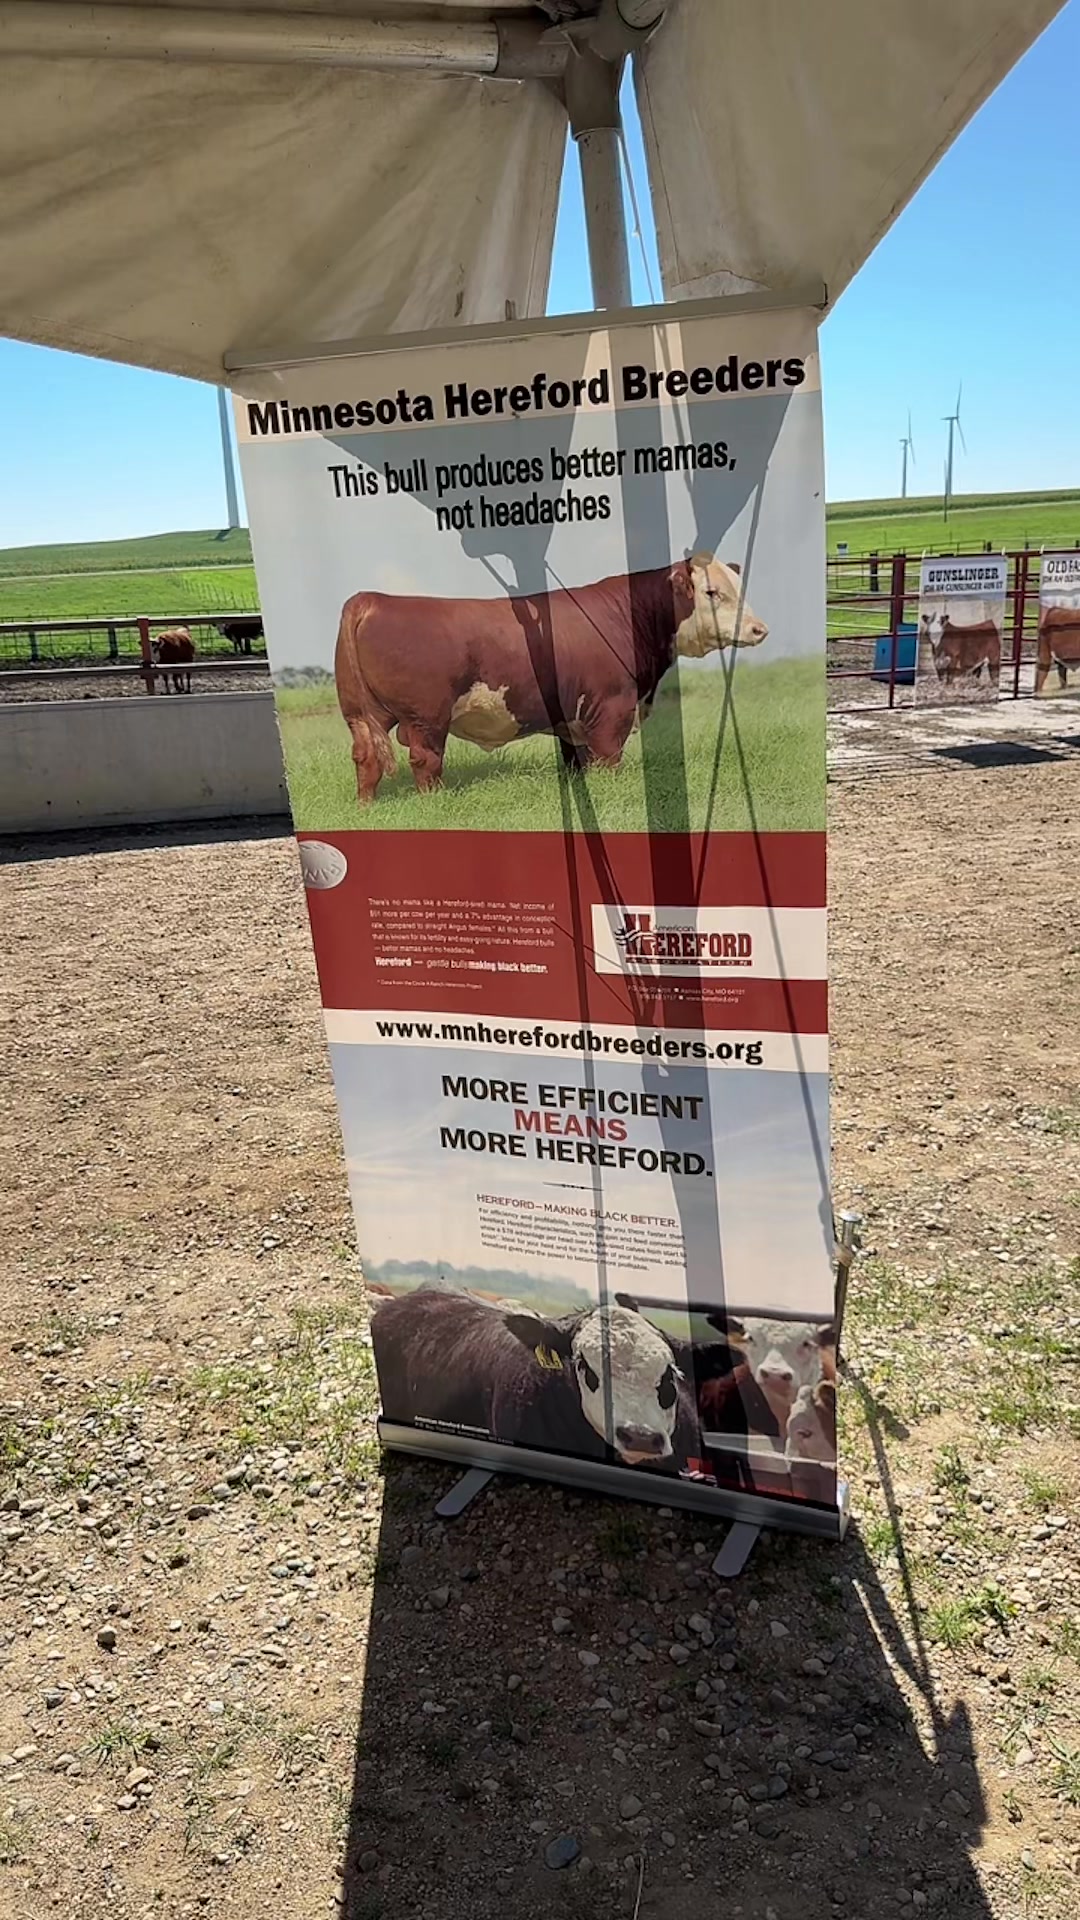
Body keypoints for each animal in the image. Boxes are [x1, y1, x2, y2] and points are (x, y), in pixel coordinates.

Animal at [334, 554, 767, 803]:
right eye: (711, 592)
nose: (759, 629)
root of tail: (370, 598)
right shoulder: (611, 707)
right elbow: (607, 757)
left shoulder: (574, 719)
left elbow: (578, 761)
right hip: (426, 717)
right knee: (424, 759)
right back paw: (435, 802)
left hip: (361, 714)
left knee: (365, 757)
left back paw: (366, 805)